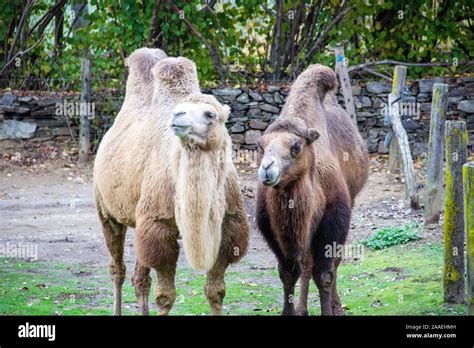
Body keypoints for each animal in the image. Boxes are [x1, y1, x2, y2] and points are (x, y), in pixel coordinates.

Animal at [91, 47, 248, 316]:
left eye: (210, 114)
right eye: (181, 109)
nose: (177, 116)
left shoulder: (230, 224)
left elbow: (216, 291)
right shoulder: (158, 224)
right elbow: (165, 296)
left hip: (137, 217)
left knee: (140, 278)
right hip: (106, 209)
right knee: (117, 268)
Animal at [256, 63, 370, 316]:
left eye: (295, 146)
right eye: (261, 146)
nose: (267, 169)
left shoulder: (333, 220)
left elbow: (325, 274)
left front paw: (329, 310)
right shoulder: (274, 231)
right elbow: (288, 273)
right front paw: (290, 312)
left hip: (350, 202)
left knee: (334, 263)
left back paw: (337, 307)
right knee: (307, 264)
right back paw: (302, 308)